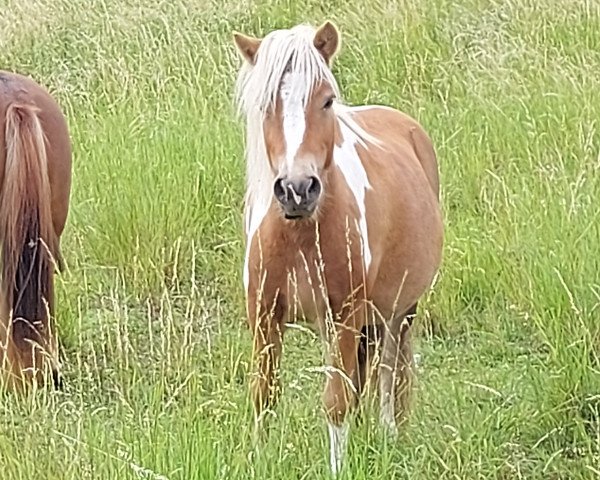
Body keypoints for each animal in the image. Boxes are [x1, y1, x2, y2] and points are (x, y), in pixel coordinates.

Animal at [232, 21, 442, 472]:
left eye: (327, 100)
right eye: (264, 106)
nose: (297, 189)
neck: (299, 235)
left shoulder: (344, 316)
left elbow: (337, 402)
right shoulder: (264, 315)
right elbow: (263, 396)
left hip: (398, 311)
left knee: (389, 372)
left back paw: (391, 436)